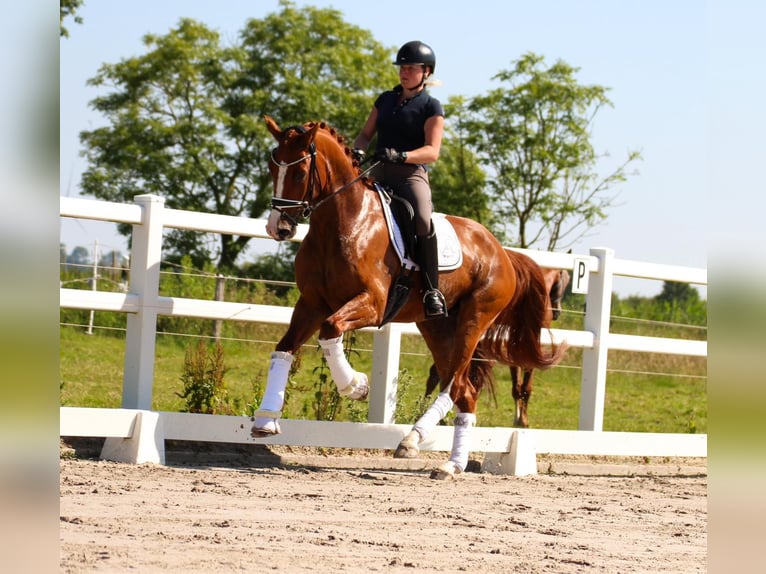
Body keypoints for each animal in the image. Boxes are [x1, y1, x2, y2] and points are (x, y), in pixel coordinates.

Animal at [426, 251, 568, 428]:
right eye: (565, 281)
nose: (557, 313)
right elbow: (524, 387)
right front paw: (522, 420)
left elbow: (517, 387)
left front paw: (519, 418)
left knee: (440, 374)